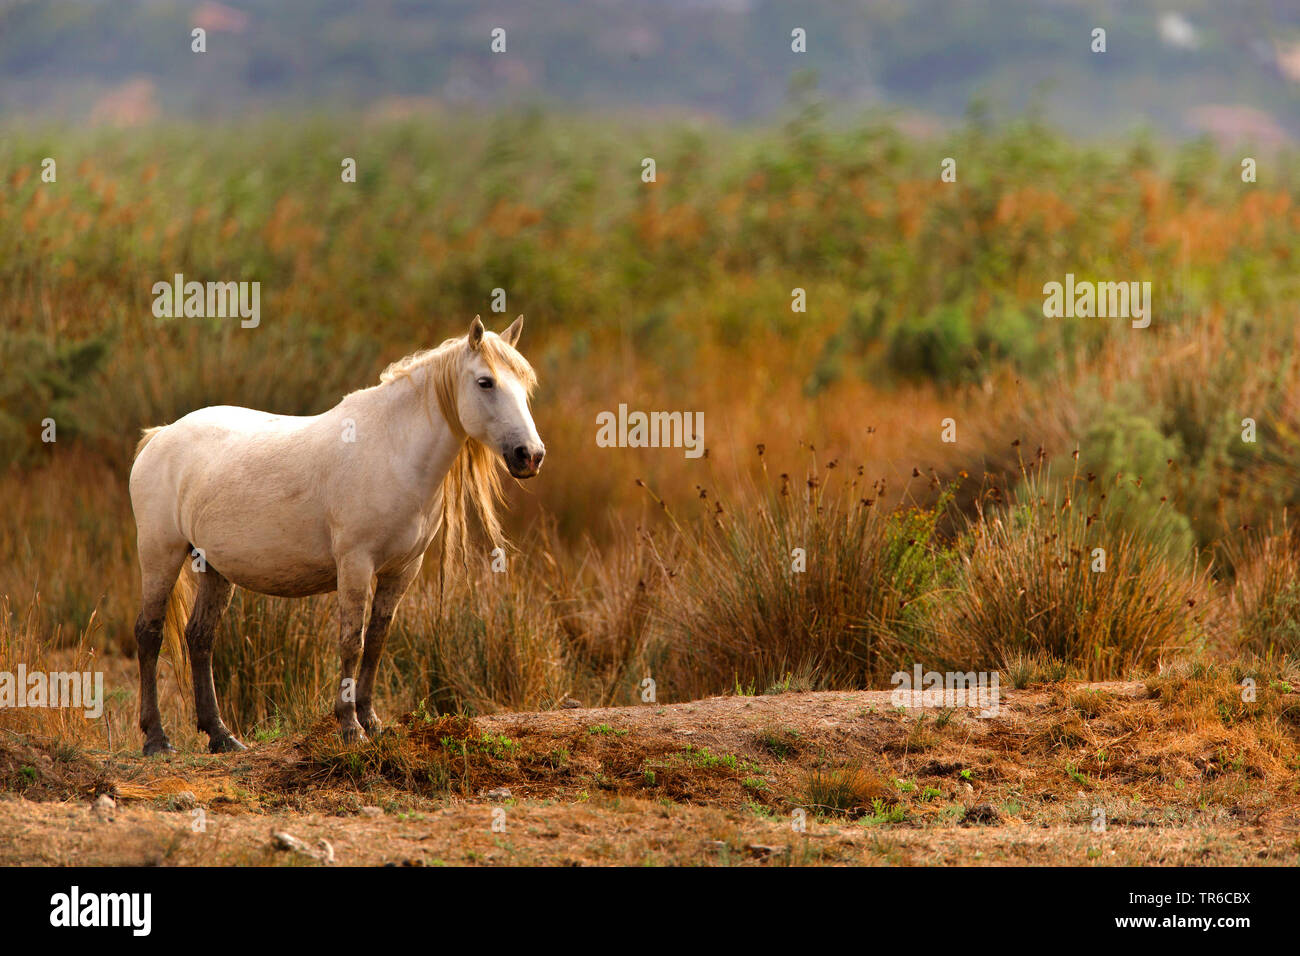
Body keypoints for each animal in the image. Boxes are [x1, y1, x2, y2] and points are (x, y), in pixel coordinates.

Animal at [128, 319, 543, 754]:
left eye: (525, 385)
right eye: (485, 382)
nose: (530, 455)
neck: (392, 450)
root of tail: (160, 436)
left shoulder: (402, 570)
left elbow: (376, 641)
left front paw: (372, 721)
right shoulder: (355, 564)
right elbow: (351, 642)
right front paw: (349, 726)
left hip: (214, 569)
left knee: (200, 638)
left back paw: (221, 735)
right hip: (160, 554)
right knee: (149, 634)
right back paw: (157, 738)